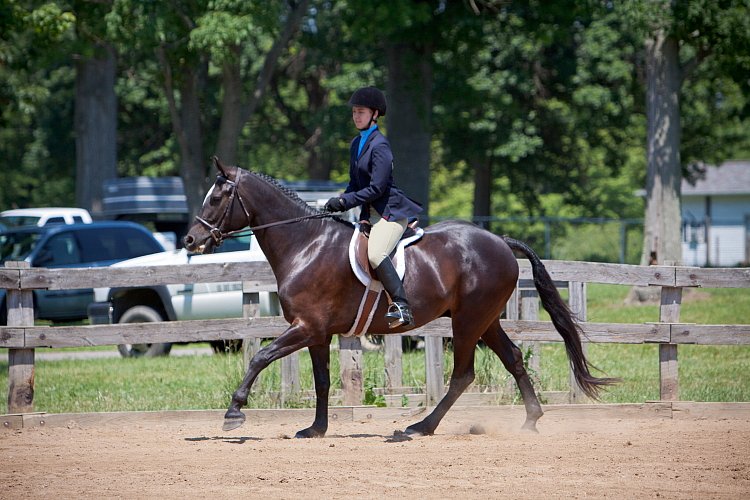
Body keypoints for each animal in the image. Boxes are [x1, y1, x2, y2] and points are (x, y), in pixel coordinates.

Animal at [184, 157, 616, 438]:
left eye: (216, 199)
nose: (190, 240)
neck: (305, 244)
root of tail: (500, 241)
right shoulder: (317, 333)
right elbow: (322, 381)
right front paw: (316, 429)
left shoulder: (306, 327)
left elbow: (260, 356)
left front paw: (234, 411)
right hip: (484, 319)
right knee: (511, 359)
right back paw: (530, 420)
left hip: (468, 322)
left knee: (463, 374)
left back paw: (420, 427)